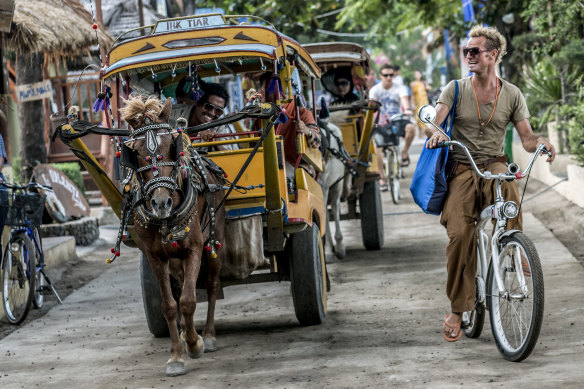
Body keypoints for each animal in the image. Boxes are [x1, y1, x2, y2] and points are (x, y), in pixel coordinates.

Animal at [120, 94, 225, 376]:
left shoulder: (195, 248)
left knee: (212, 285)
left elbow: (188, 300)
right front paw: (176, 355)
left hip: (216, 238)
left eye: (170, 147)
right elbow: (169, 305)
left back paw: (208, 335)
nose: (161, 203)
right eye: (136, 153)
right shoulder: (155, 257)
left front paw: (195, 344)